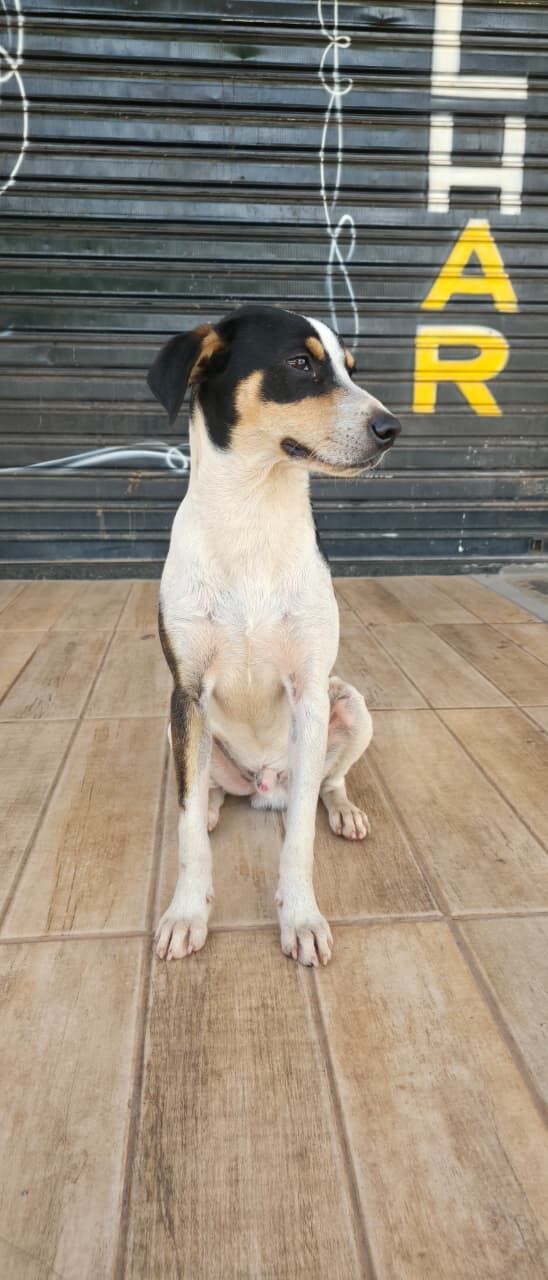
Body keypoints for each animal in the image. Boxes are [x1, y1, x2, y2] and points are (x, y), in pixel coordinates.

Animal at [147, 304, 401, 966]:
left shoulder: (310, 691)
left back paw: (345, 812)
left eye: (350, 367)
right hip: (176, 728)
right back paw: (214, 804)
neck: (253, 513)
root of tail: (263, 784)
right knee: (201, 791)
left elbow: (299, 839)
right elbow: (187, 828)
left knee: (327, 784)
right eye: (299, 363)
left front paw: (301, 918)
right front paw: (187, 913)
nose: (391, 428)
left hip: (350, 705)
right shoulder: (186, 692)